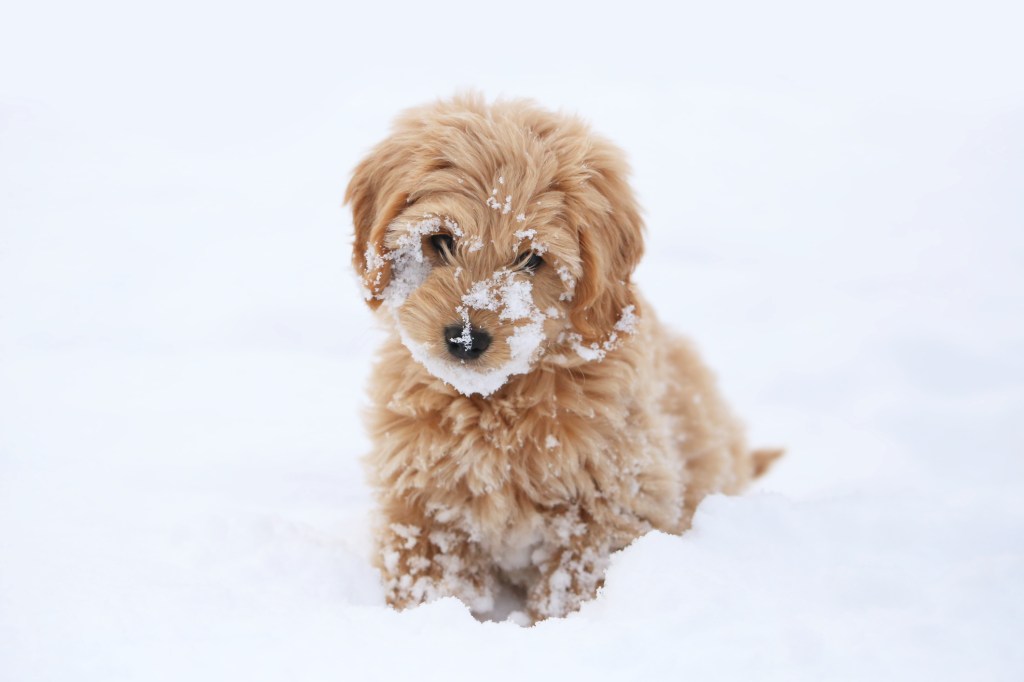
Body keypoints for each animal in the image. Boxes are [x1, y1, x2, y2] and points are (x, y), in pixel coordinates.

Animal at [344, 95, 774, 622]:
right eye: (441, 240)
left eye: (531, 258)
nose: (465, 340)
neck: (494, 403)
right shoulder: (422, 501)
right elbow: (429, 578)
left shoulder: (613, 498)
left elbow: (575, 584)